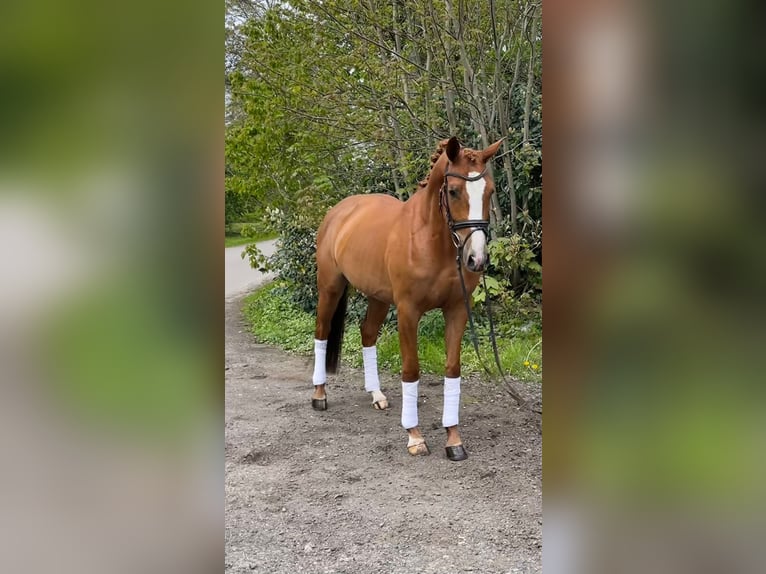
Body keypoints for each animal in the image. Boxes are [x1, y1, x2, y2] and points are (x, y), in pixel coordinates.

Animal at [312, 136, 504, 464]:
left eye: (489, 191)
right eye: (453, 191)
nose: (476, 259)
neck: (430, 241)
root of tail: (339, 211)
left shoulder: (456, 311)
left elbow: (452, 369)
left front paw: (453, 439)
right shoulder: (408, 312)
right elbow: (411, 370)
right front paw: (414, 436)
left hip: (378, 297)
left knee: (367, 335)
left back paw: (376, 395)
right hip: (330, 288)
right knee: (322, 332)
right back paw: (319, 395)